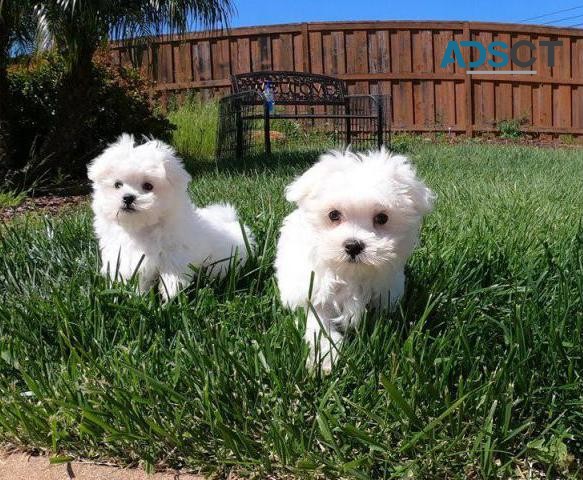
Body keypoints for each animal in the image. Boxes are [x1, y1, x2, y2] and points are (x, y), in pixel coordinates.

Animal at [88, 134, 252, 300]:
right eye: (117, 185)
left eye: (148, 186)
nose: (128, 198)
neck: (142, 227)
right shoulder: (127, 255)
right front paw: (136, 295)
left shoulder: (175, 251)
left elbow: (173, 273)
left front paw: (171, 295)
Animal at [276, 148, 436, 370]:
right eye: (333, 215)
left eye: (382, 218)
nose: (353, 246)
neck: (350, 273)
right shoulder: (314, 292)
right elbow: (318, 325)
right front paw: (325, 357)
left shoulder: (384, 292)